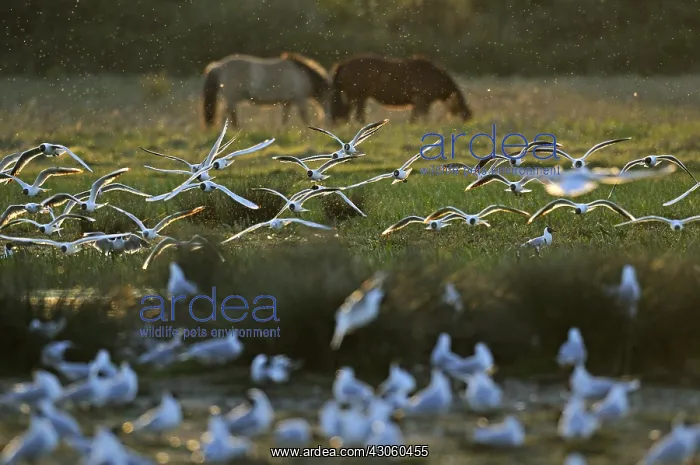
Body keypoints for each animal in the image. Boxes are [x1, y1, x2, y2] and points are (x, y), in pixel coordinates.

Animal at [202, 52, 331, 128]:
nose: (329, 122)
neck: (301, 75)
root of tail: (218, 66)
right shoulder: (300, 100)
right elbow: (305, 119)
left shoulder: (287, 102)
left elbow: (284, 119)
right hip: (232, 99)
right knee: (228, 115)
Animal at [330, 54, 472, 124]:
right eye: (459, 103)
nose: (468, 116)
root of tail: (343, 65)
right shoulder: (421, 99)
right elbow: (422, 117)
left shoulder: (418, 101)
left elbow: (414, 118)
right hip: (358, 95)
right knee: (356, 115)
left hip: (357, 96)